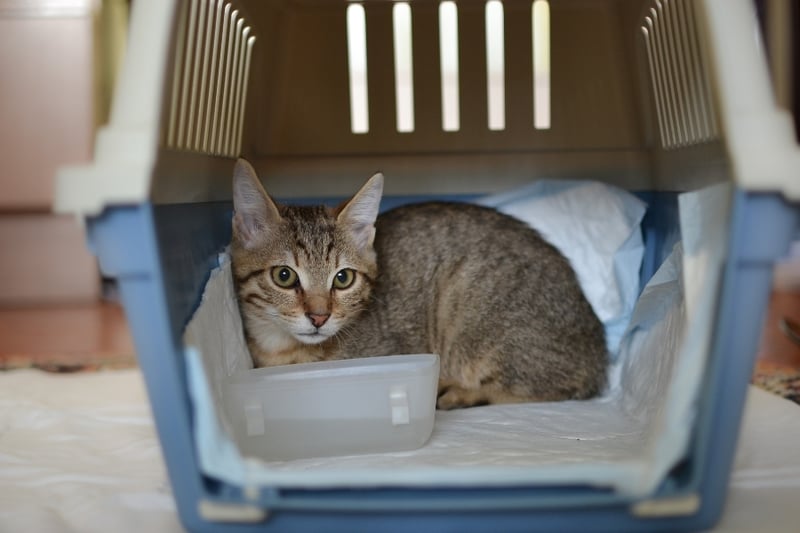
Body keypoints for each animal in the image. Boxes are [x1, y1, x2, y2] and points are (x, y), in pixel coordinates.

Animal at [231, 158, 608, 408]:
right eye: (284, 276)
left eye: (343, 278)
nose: (319, 317)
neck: (283, 353)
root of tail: (599, 351)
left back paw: (460, 393)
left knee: (548, 388)